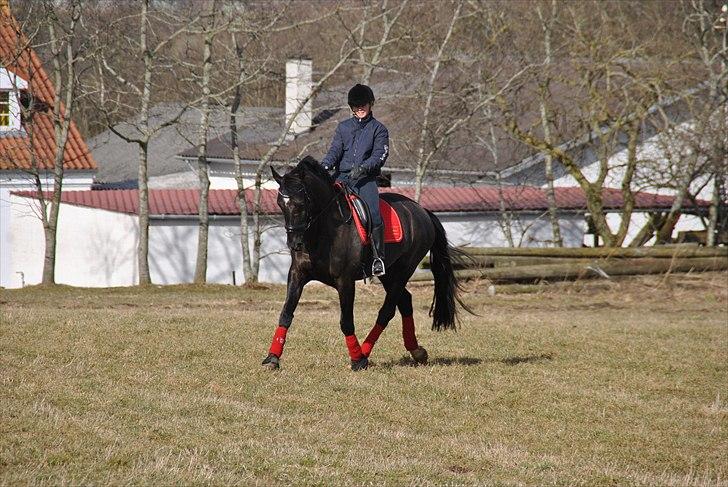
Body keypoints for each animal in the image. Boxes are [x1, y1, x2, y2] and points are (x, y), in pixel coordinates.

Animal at [264, 156, 472, 370]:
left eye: (301, 204)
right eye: (280, 204)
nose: (294, 244)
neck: (323, 232)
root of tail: (422, 211)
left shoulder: (345, 281)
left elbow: (346, 321)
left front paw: (356, 360)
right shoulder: (297, 274)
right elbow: (286, 313)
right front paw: (272, 358)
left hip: (403, 270)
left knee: (387, 311)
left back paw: (364, 354)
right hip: (389, 273)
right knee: (405, 302)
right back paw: (416, 351)